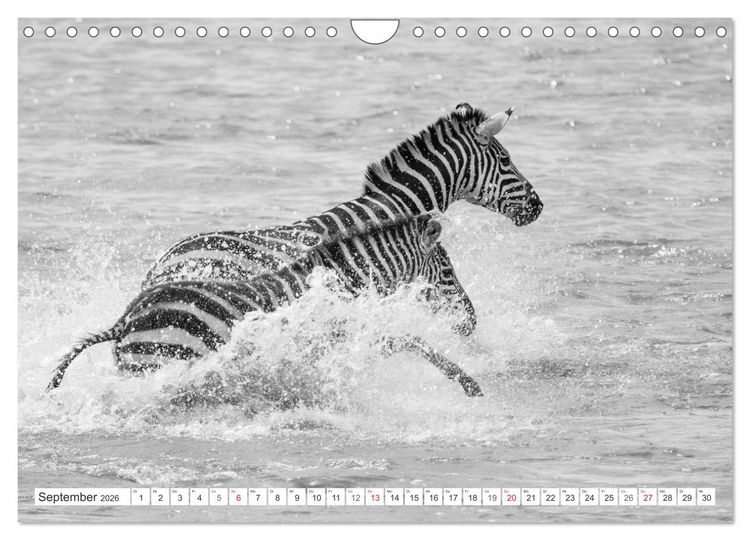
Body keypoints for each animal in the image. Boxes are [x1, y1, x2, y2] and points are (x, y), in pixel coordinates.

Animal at [46, 214, 482, 398]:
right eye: (447, 268)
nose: (470, 320)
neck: (341, 282)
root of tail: (123, 321)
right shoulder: (343, 331)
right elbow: (411, 341)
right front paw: (469, 383)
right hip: (157, 362)